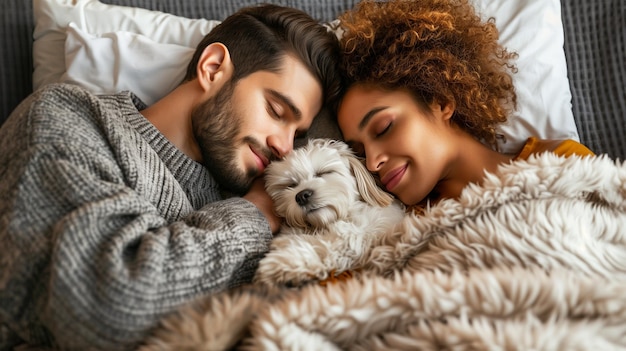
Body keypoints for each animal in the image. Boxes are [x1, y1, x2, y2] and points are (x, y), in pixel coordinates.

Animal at [254, 139, 404, 288]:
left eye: (323, 173)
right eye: (291, 185)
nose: (301, 196)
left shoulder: (358, 236)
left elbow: (327, 244)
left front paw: (283, 262)